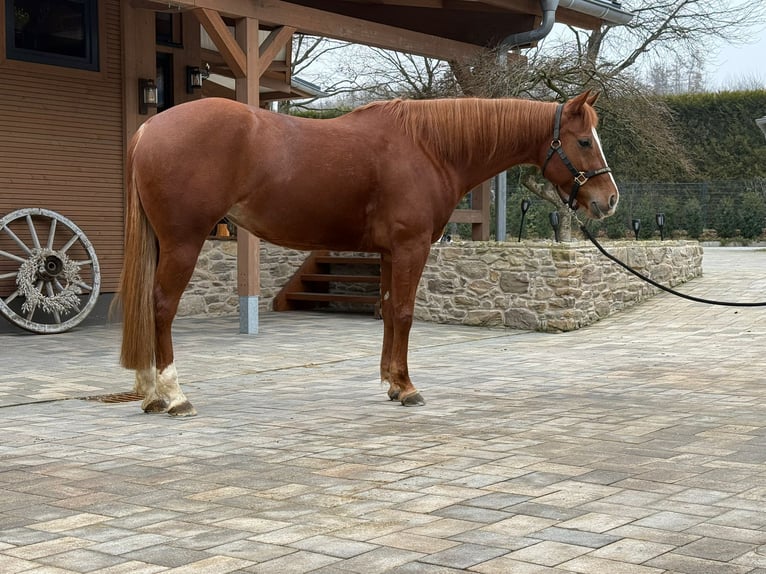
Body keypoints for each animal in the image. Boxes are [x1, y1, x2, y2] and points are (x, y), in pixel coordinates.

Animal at [116, 90, 618, 416]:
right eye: (584, 141)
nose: (609, 200)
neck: (429, 147)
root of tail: (149, 128)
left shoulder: (391, 253)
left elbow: (389, 310)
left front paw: (393, 384)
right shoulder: (412, 247)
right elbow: (405, 313)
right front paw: (409, 388)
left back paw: (150, 394)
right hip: (183, 242)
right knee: (161, 307)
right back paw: (174, 396)